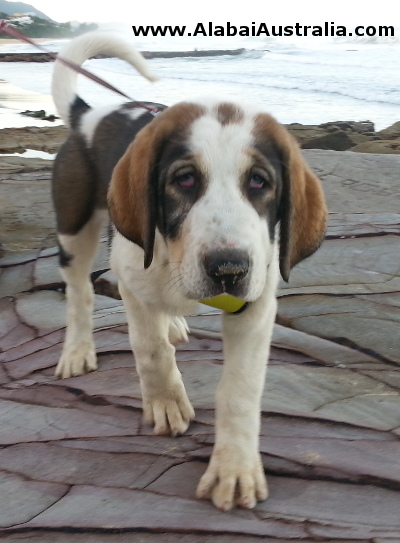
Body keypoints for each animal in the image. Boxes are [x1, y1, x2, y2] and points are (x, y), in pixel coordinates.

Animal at [51, 31, 326, 512]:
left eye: (259, 182)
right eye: (184, 180)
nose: (229, 269)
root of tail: (89, 114)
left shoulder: (256, 303)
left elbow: (240, 388)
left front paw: (235, 468)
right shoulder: (132, 278)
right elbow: (150, 350)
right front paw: (166, 403)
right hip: (74, 226)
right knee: (80, 291)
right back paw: (78, 350)